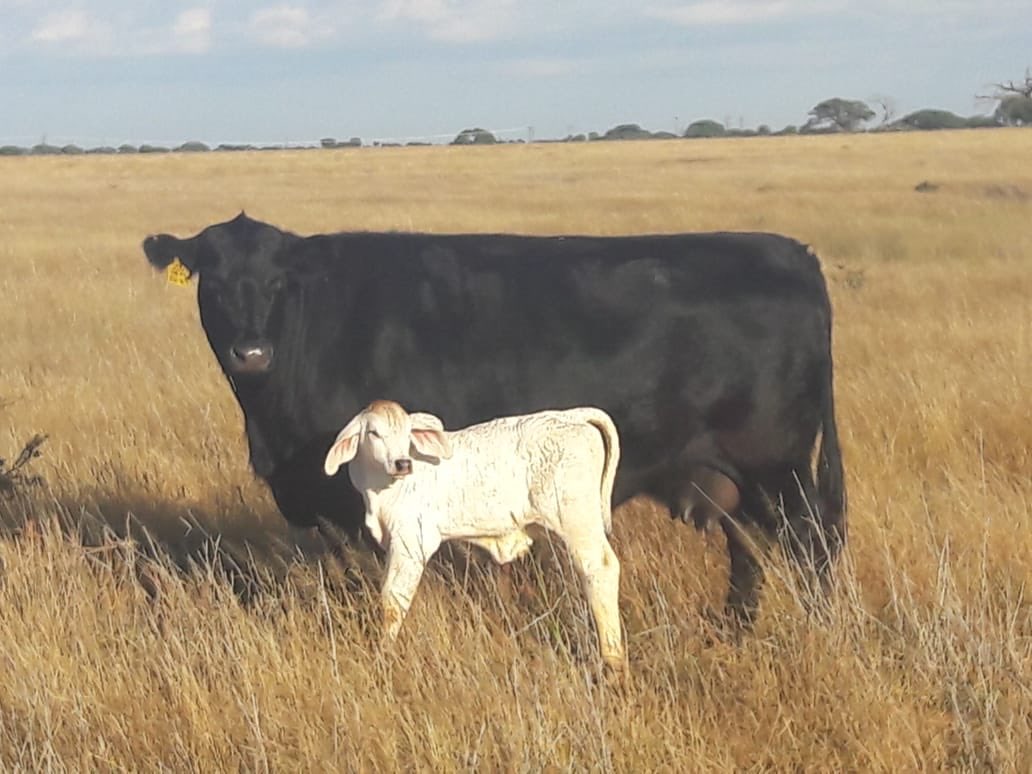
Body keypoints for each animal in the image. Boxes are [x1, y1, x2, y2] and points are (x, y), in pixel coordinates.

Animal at [142, 212, 846, 625]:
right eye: (212, 280)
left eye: (279, 283)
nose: (251, 352)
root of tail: (792, 252)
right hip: (735, 479)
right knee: (749, 548)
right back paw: (734, 631)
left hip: (776, 469)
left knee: (810, 546)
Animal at [323, 400, 626, 675]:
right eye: (374, 433)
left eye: (408, 433)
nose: (402, 463)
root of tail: (571, 416)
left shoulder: (412, 543)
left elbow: (393, 599)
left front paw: (384, 653)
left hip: (576, 520)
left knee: (600, 569)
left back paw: (613, 658)